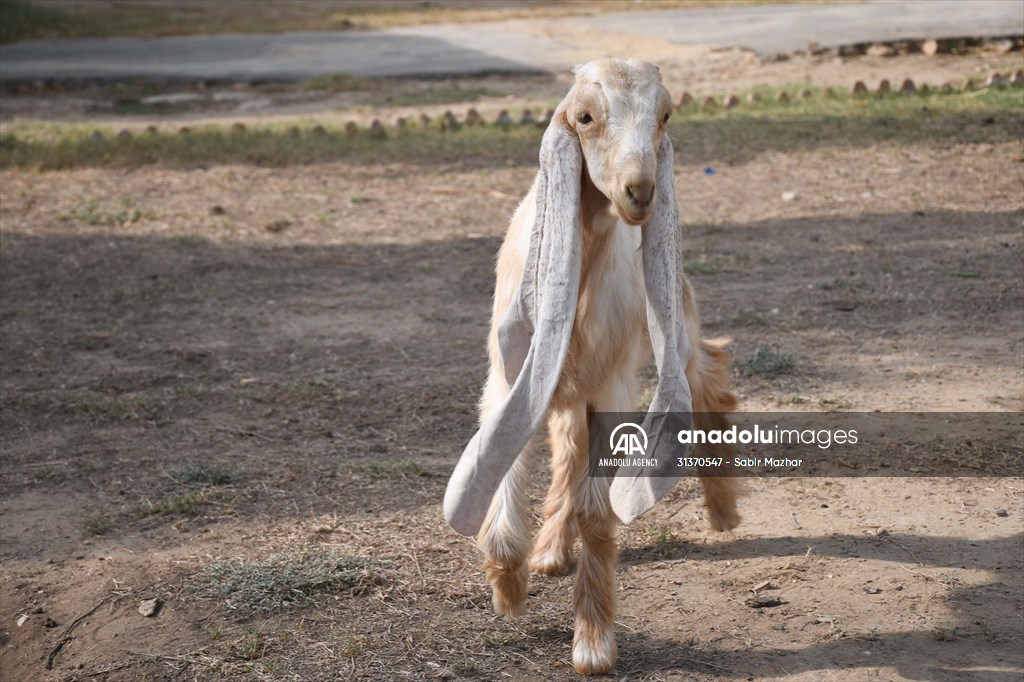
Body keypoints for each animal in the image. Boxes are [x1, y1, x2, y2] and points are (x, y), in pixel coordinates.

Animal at [444, 59, 741, 675]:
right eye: (583, 116)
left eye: (666, 114)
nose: (640, 191)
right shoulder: (511, 377)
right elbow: (503, 461)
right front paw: (508, 587)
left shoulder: (611, 383)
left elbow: (598, 511)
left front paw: (593, 642)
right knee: (567, 447)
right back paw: (551, 551)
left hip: (670, 315)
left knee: (708, 370)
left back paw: (724, 509)